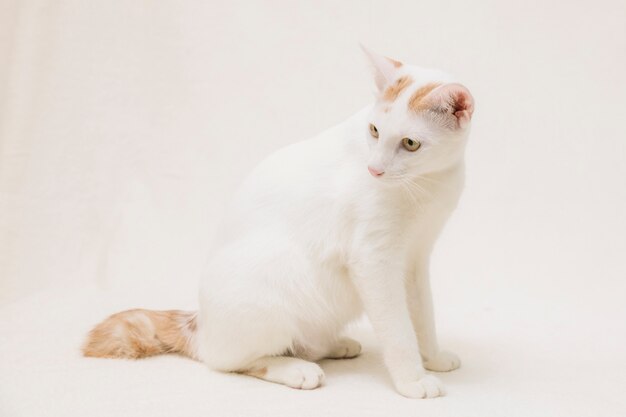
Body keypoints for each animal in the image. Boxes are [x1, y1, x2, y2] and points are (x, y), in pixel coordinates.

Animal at [83, 44, 472, 396]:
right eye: (374, 130)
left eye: (410, 143)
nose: (373, 169)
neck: (427, 183)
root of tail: (199, 324)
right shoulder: (374, 261)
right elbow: (398, 329)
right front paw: (412, 379)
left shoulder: (415, 260)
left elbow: (423, 315)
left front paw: (433, 357)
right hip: (268, 289)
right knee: (230, 361)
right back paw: (295, 369)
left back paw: (333, 345)